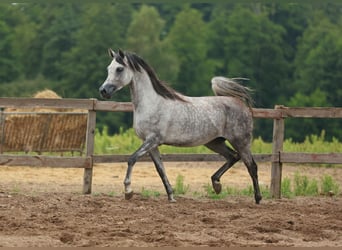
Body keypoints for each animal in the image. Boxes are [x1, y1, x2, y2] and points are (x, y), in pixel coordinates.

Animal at [99, 48, 262, 203]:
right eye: (108, 68)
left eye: (119, 69)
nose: (103, 91)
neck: (152, 103)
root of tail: (239, 103)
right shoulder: (151, 144)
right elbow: (160, 169)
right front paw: (171, 197)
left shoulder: (152, 140)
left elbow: (132, 159)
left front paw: (128, 192)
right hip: (214, 142)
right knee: (233, 157)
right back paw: (216, 184)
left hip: (241, 142)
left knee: (251, 166)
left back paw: (258, 198)